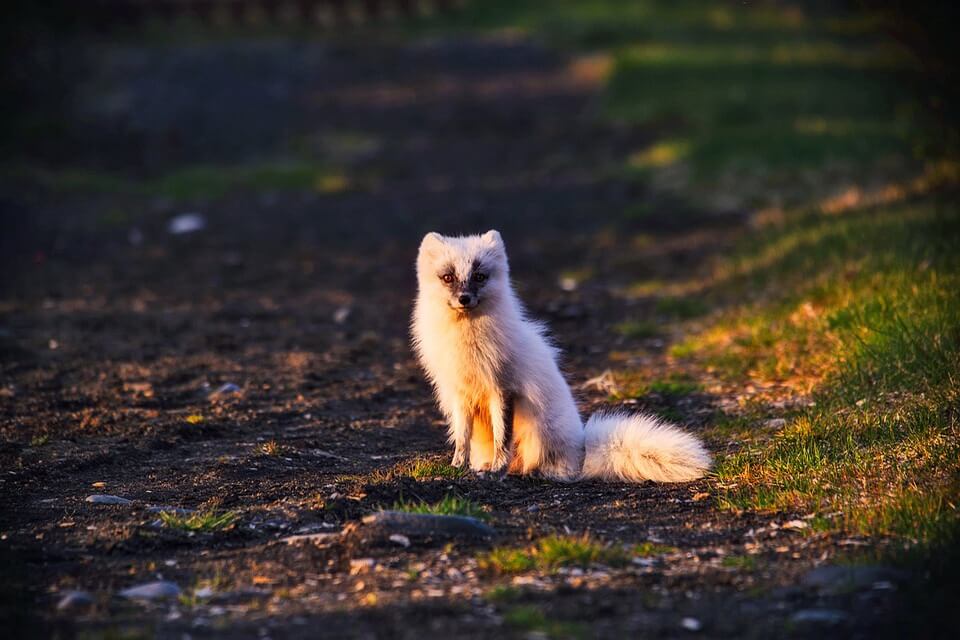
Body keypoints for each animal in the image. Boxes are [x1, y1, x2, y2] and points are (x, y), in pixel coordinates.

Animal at [408, 230, 708, 480]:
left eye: (480, 277)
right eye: (448, 277)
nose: (464, 298)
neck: (465, 343)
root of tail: (583, 450)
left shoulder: (503, 388)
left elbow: (501, 438)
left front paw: (496, 471)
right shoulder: (460, 395)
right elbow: (462, 438)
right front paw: (458, 467)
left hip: (540, 433)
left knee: (550, 466)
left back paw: (530, 471)